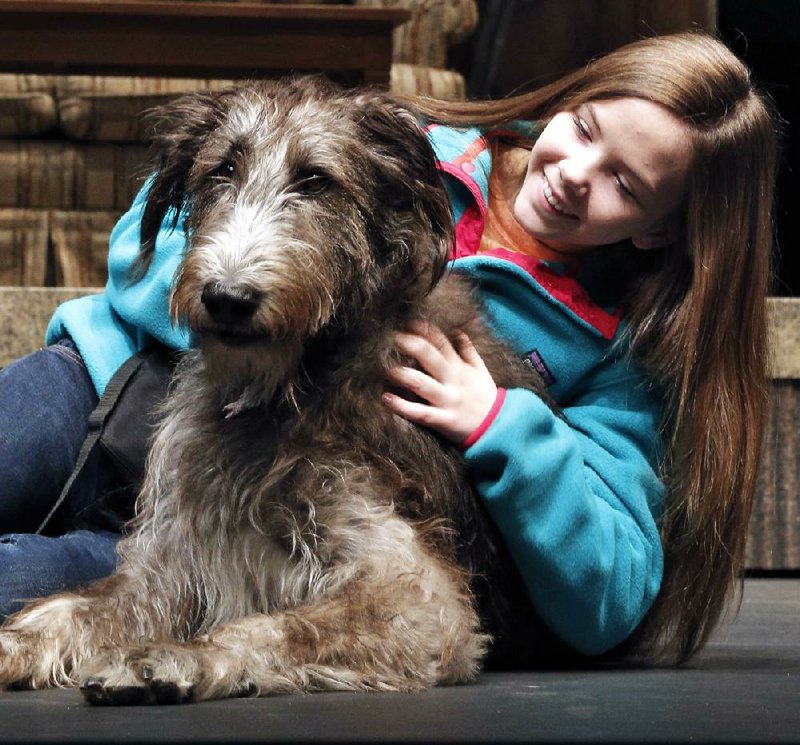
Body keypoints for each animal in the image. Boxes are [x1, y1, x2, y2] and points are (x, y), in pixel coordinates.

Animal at [0, 77, 544, 704]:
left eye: (316, 180)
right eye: (223, 169)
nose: (228, 298)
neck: (286, 386)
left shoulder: (417, 593)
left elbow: (279, 626)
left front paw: (175, 659)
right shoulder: (171, 556)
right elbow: (70, 609)